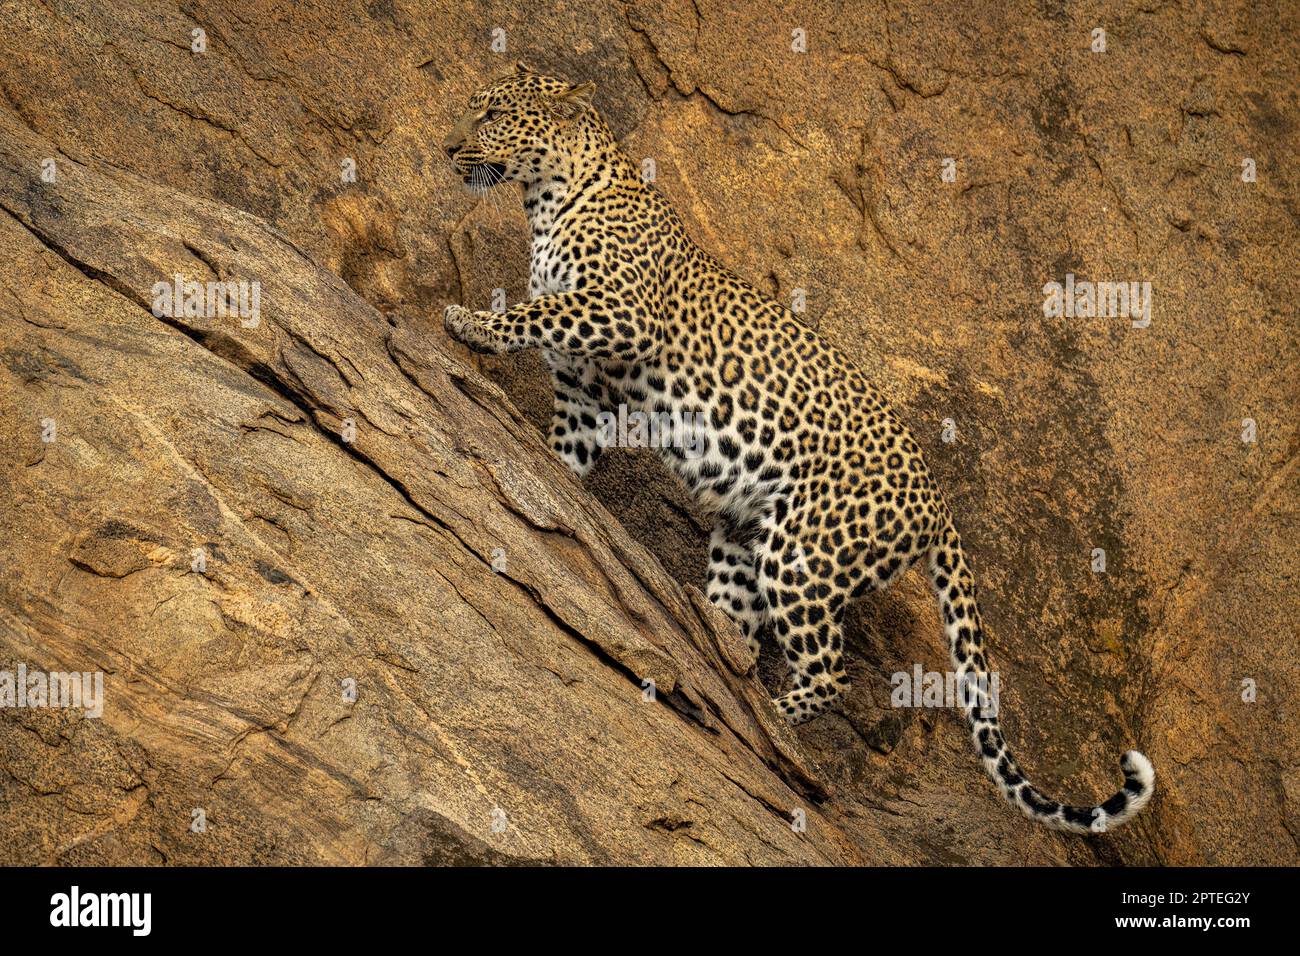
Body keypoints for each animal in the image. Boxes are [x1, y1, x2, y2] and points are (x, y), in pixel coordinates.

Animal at [439, 64, 1155, 833]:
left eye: (493, 114)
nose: (449, 147)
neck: (547, 203)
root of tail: (939, 506)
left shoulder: (620, 313)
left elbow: (535, 311)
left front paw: (472, 324)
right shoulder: (583, 392)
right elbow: (564, 445)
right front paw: (547, 473)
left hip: (803, 553)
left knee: (830, 673)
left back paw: (775, 727)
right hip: (745, 536)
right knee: (743, 639)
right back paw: (718, 673)